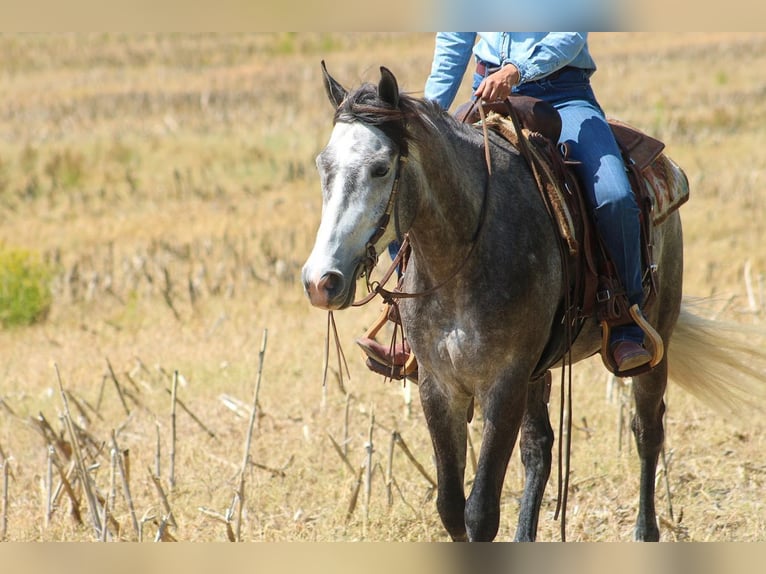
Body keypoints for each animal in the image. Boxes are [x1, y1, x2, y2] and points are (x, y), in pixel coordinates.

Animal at [301, 63, 766, 541]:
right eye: (323, 166)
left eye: (380, 168)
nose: (321, 281)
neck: (466, 251)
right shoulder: (439, 386)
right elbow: (451, 506)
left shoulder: (504, 383)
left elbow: (480, 512)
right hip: (539, 371)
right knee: (539, 447)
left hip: (657, 342)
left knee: (647, 430)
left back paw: (645, 529)